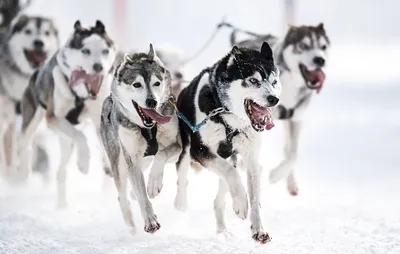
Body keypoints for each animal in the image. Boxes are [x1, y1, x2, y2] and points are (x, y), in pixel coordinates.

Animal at [15, 19, 115, 206]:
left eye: (105, 51)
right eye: (85, 50)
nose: (98, 66)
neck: (80, 94)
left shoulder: (99, 117)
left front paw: (107, 164)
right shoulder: (53, 117)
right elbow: (81, 137)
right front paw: (84, 162)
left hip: (65, 142)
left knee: (61, 171)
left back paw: (62, 206)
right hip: (32, 121)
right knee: (26, 146)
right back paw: (23, 174)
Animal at [100, 44, 181, 234]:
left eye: (156, 83)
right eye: (137, 84)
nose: (152, 101)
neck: (148, 129)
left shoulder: (177, 146)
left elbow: (161, 155)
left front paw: (154, 183)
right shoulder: (131, 159)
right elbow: (142, 194)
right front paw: (150, 221)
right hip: (119, 163)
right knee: (122, 196)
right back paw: (131, 227)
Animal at [175, 42, 282, 243]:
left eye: (274, 82)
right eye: (253, 80)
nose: (274, 99)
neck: (229, 120)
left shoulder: (250, 159)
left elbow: (254, 198)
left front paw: (259, 230)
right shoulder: (200, 150)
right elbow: (231, 174)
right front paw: (241, 202)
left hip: (230, 158)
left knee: (220, 196)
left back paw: (222, 229)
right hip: (187, 150)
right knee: (183, 175)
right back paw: (180, 203)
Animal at [222, 22, 332, 196]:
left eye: (323, 46)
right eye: (303, 46)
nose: (320, 59)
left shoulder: (295, 119)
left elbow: (293, 154)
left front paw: (277, 175)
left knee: (288, 149)